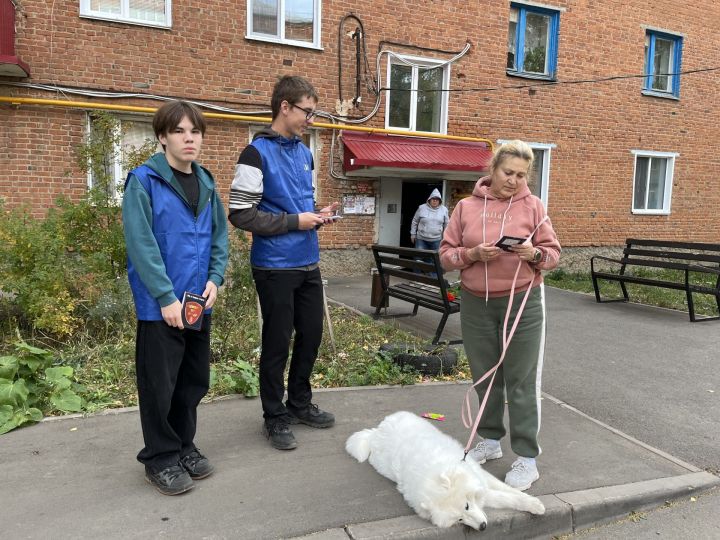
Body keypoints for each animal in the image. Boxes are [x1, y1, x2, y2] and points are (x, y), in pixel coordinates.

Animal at [346, 412, 544, 528]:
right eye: (460, 519)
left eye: (466, 506)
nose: (482, 527)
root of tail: (377, 431)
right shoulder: (483, 490)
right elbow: (504, 497)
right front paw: (533, 504)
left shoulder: (481, 476)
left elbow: (508, 491)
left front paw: (533, 502)